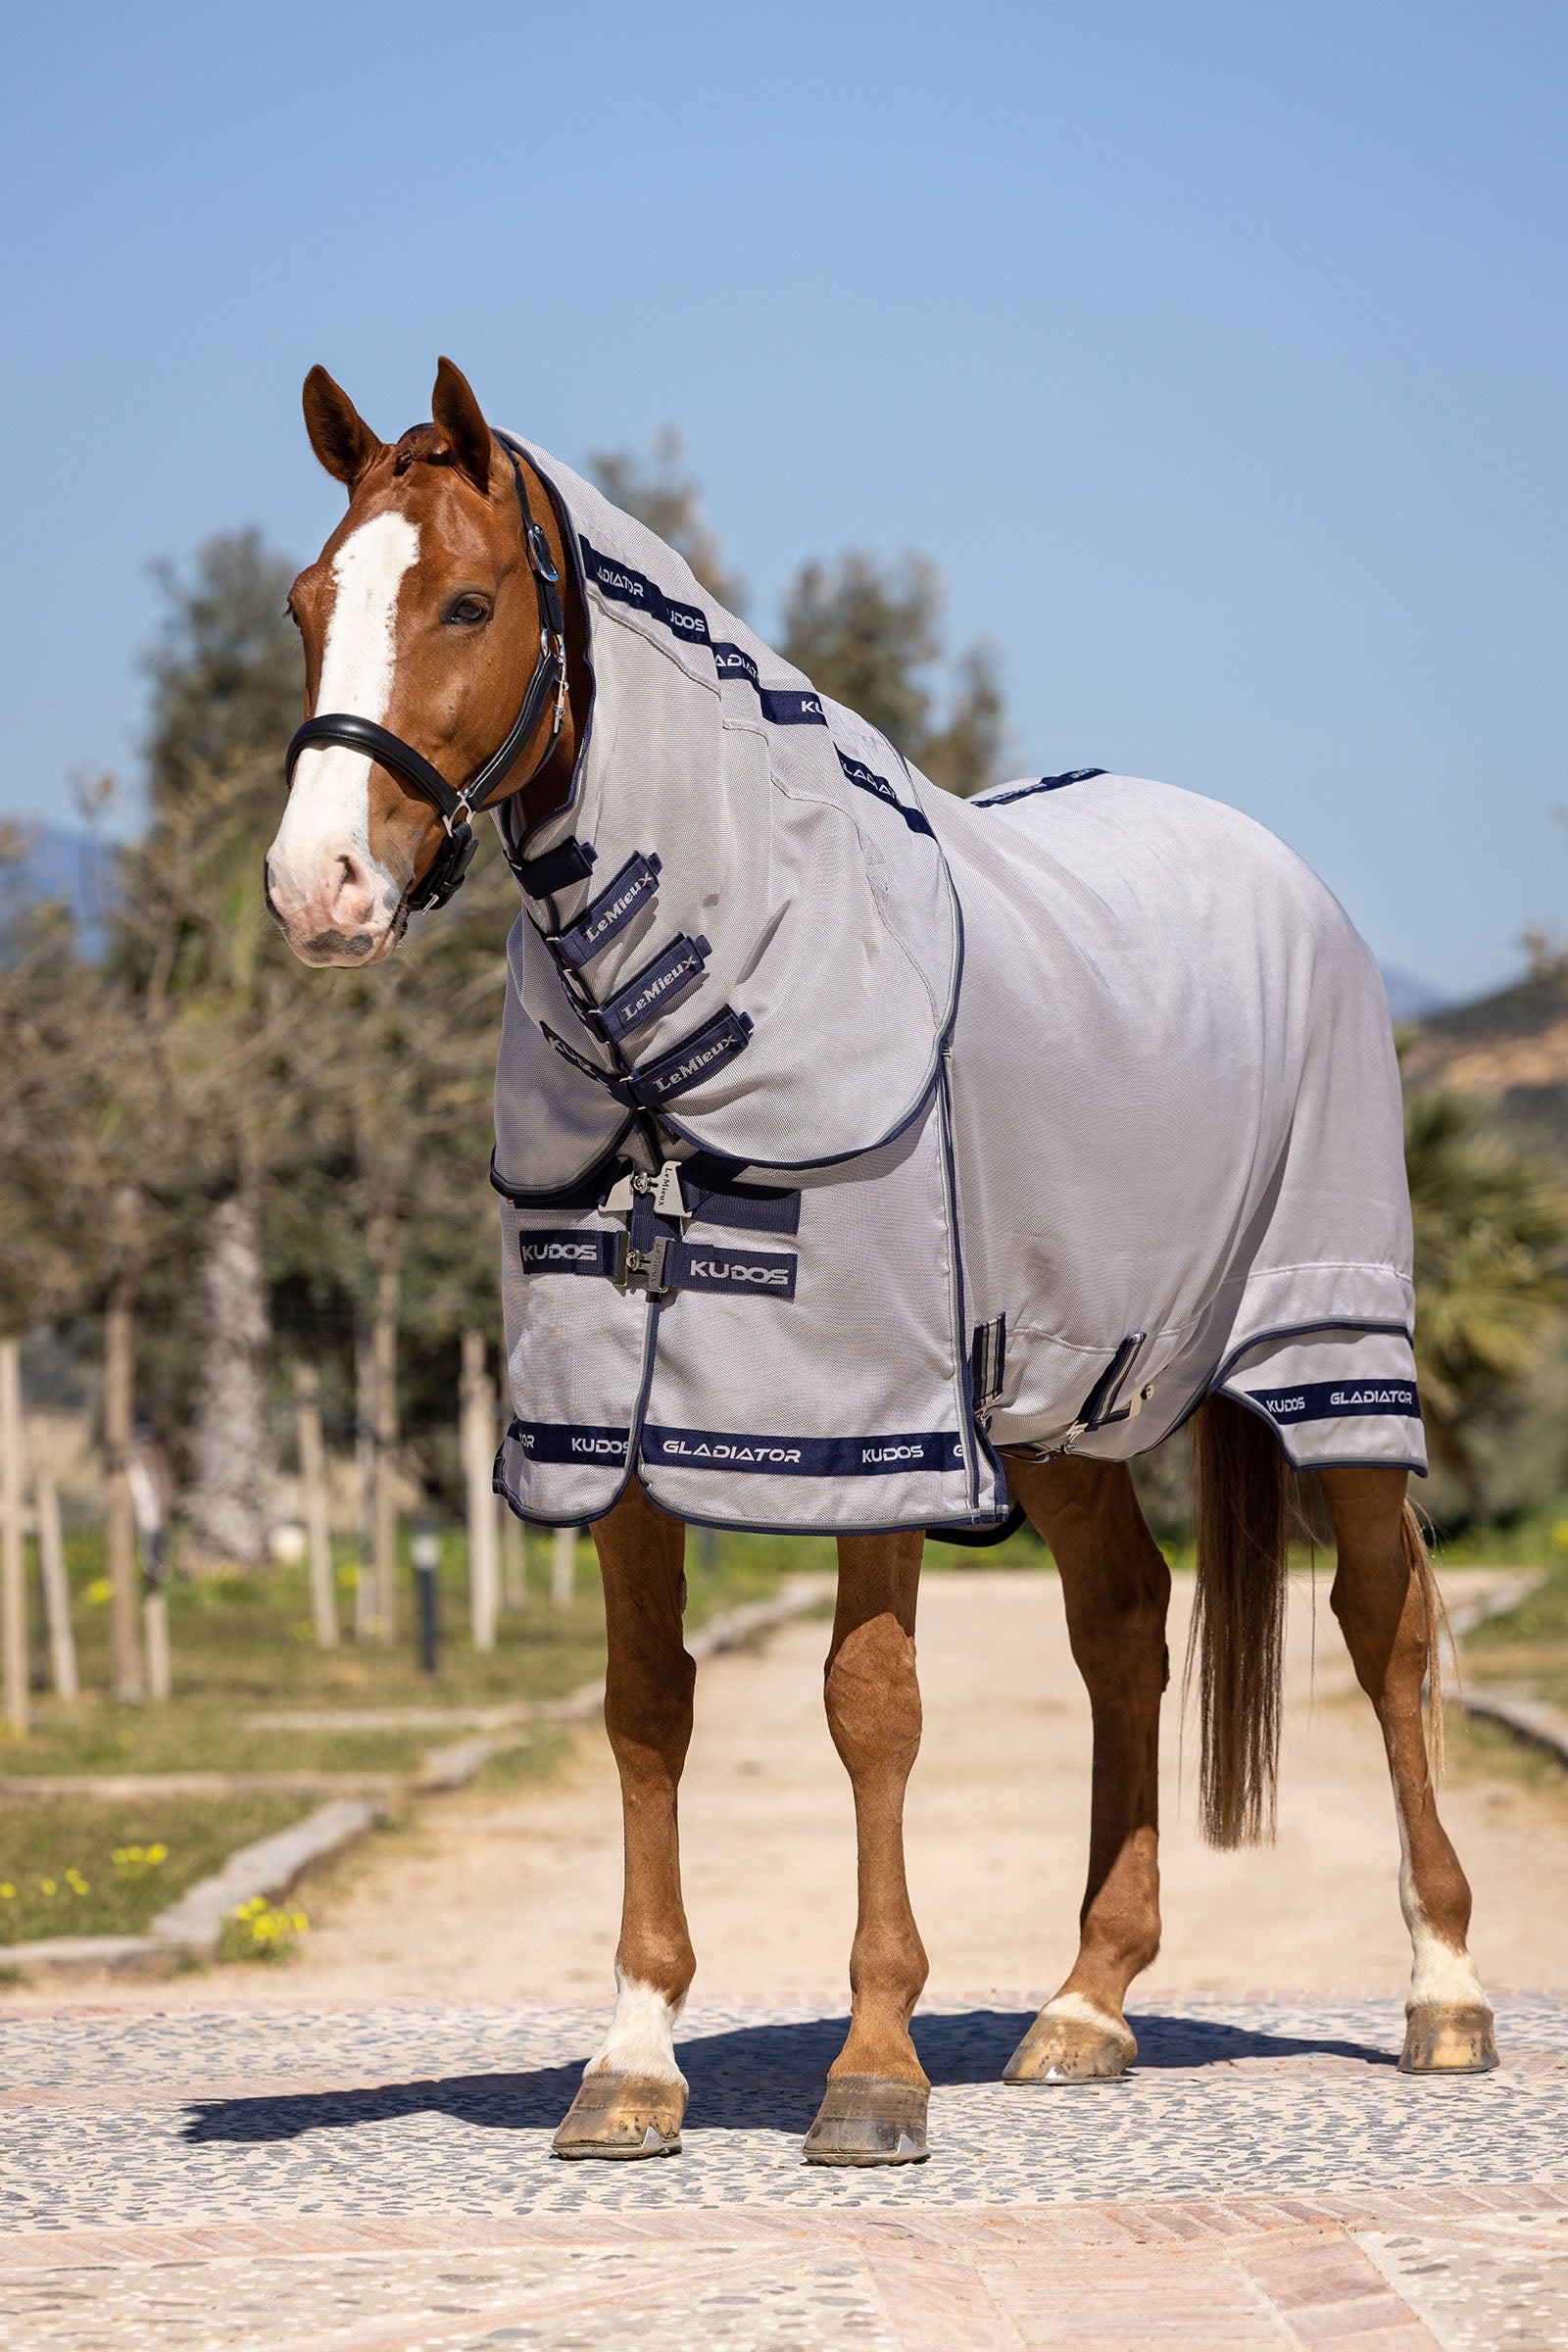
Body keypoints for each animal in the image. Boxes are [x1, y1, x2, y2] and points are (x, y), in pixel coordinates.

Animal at [265, 357, 1496, 2168]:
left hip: (1331, 1353)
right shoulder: (613, 1431)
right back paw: (1084, 2005)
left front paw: (872, 2069)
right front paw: (631, 2059)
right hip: (1064, 1394)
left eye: (468, 601)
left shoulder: (868, 1421)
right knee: (1126, 1627)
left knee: (1383, 1625)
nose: (318, 887)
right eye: (306, 605)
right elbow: (647, 1704)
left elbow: (870, 1708)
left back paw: (1445, 1993)